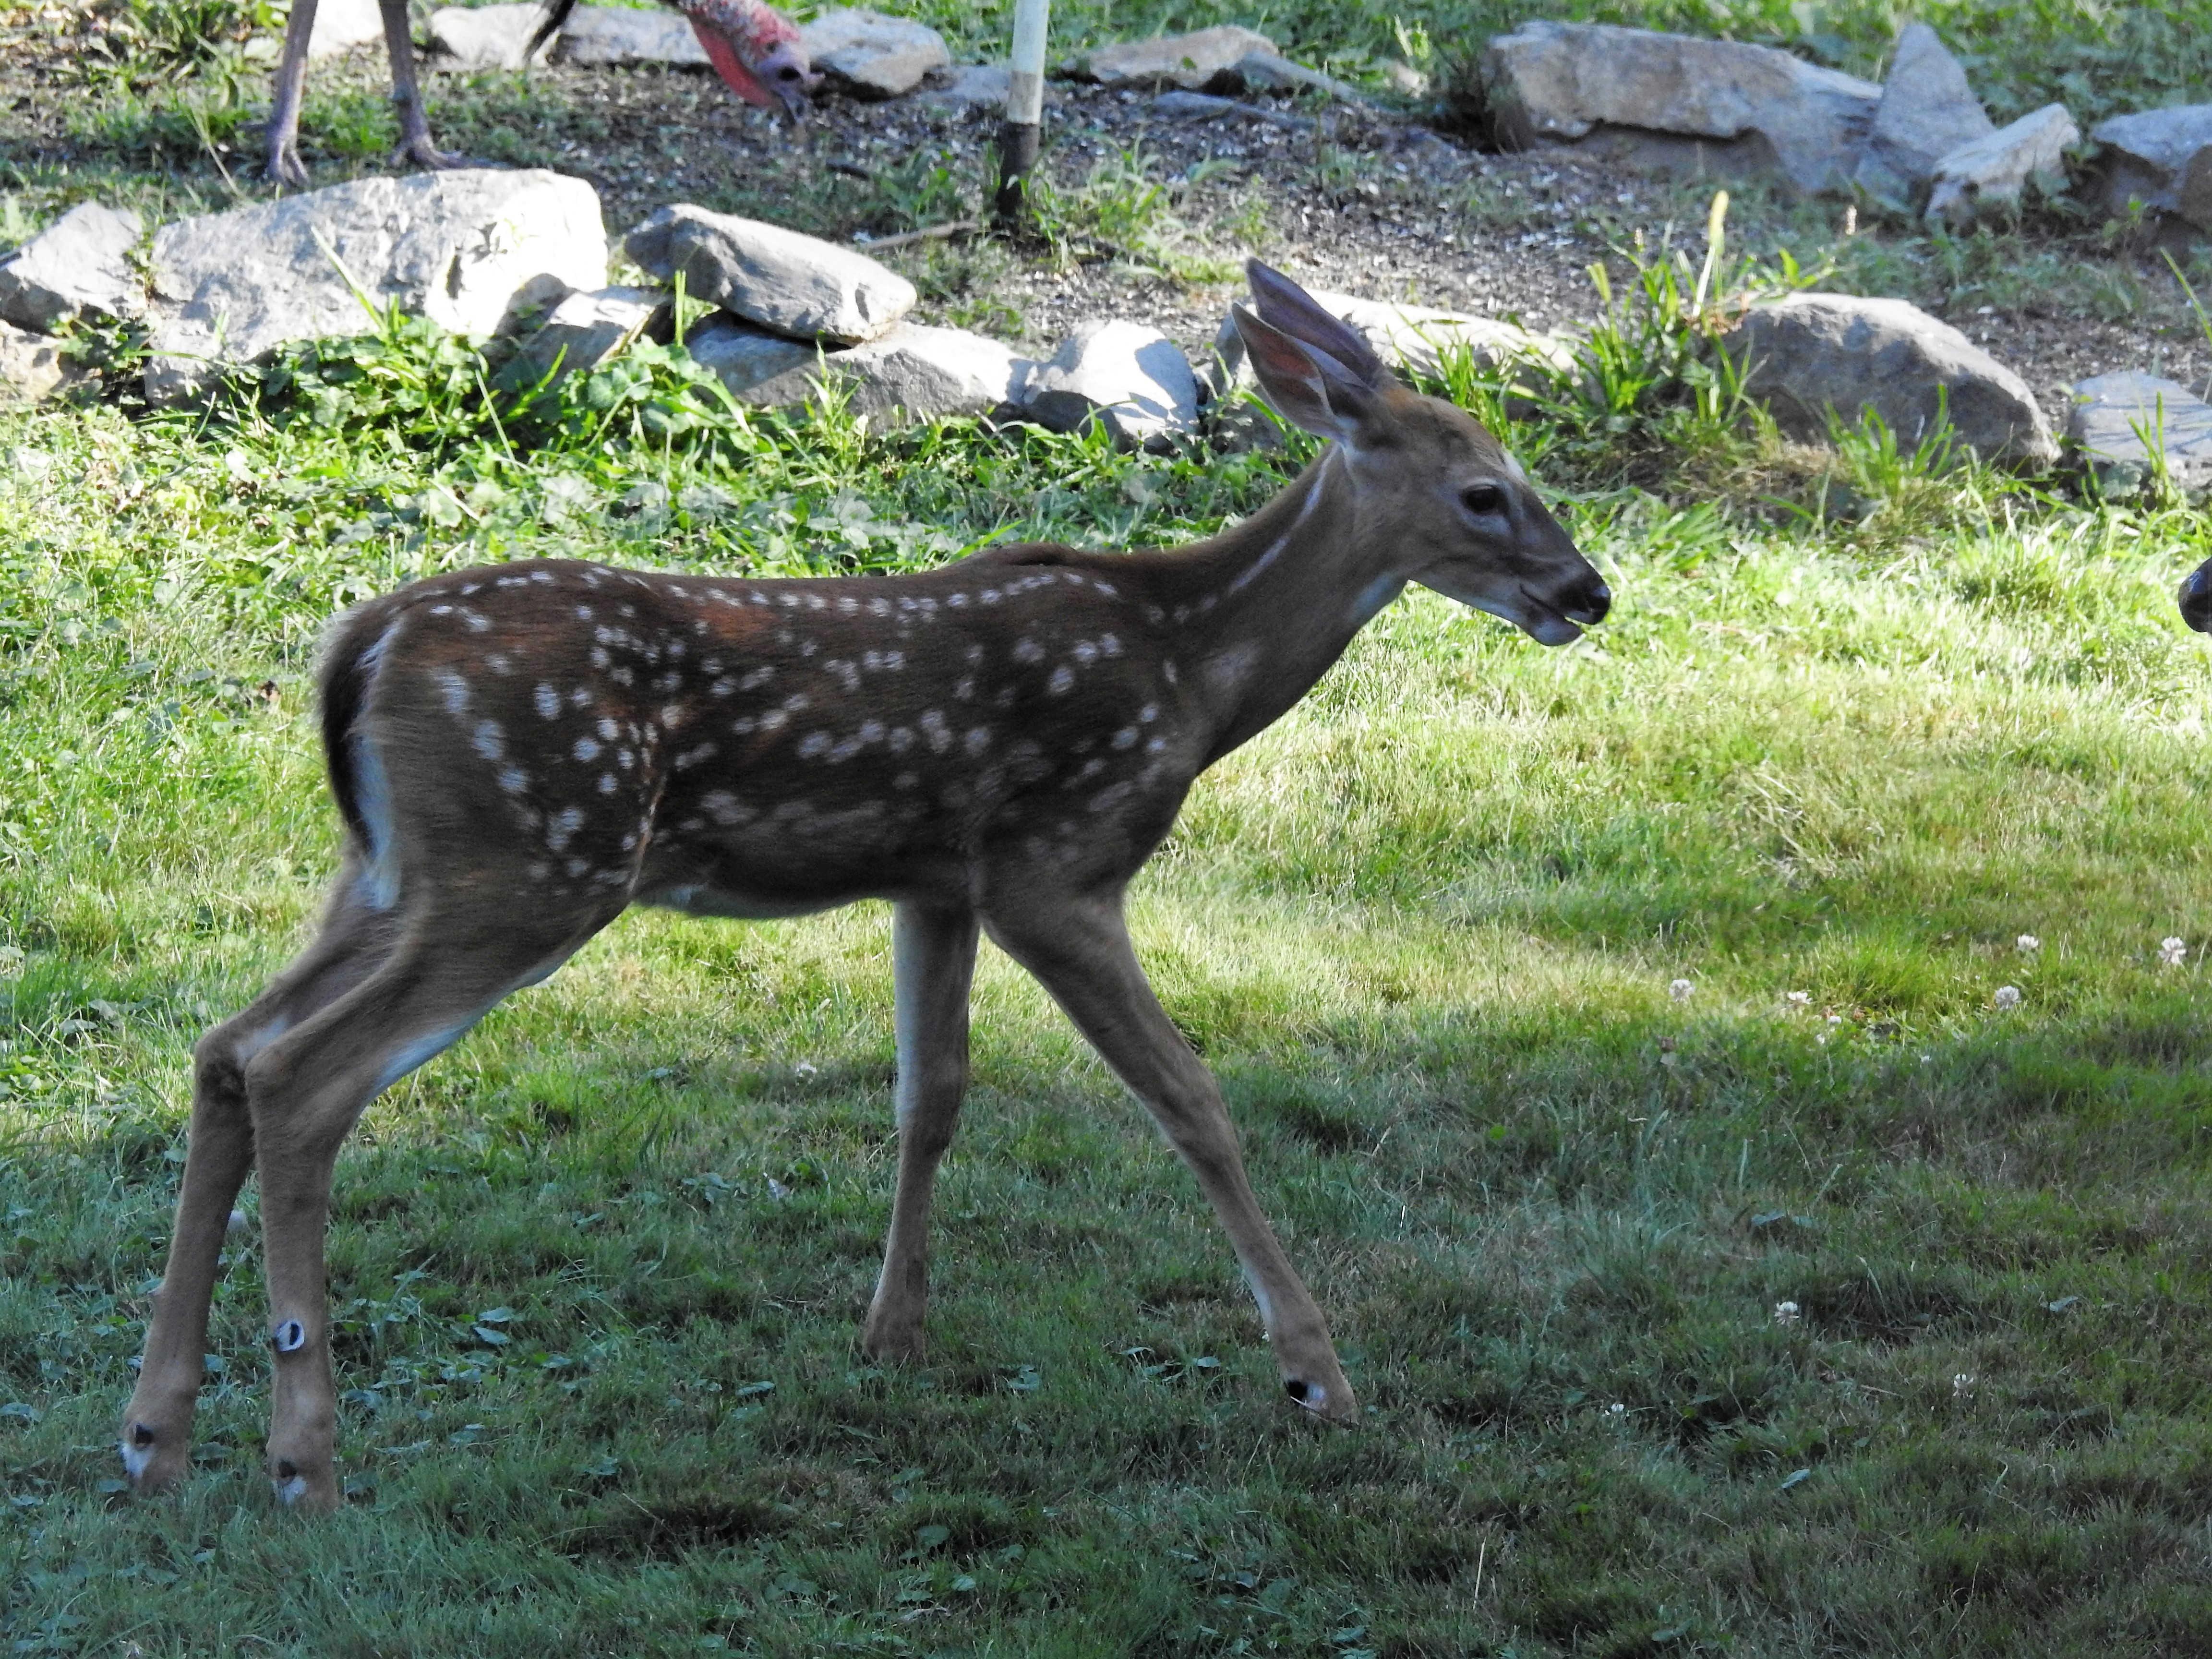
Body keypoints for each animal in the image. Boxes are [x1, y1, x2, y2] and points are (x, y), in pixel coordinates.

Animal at [120, 261, 1611, 1511]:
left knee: (226, 1049)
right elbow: (1193, 1102)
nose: (1589, 592)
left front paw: (891, 1333)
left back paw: (158, 1433)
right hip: (530, 861)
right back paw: (304, 1458)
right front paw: (1317, 1374)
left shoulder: (935, 880)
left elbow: (929, 1096)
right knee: (303, 1075)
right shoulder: (1057, 867)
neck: (1191, 667)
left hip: (388, 874)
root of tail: (360, 645)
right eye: (1486, 491)